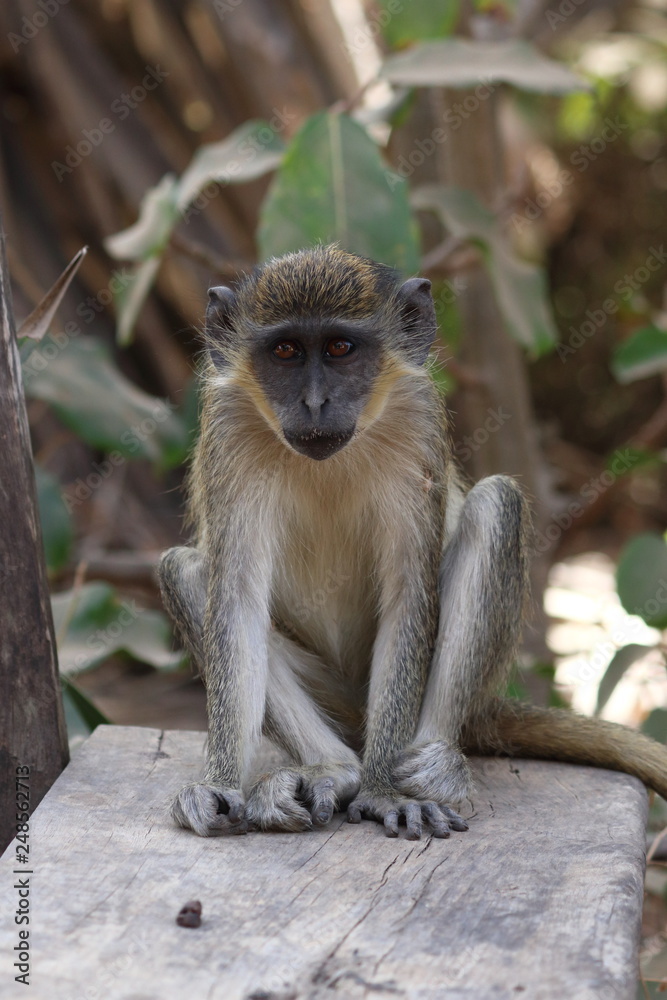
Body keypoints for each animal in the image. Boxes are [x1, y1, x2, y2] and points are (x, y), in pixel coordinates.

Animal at [159, 244, 667, 840]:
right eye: (285, 351)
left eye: (340, 348)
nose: (314, 403)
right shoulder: (226, 427)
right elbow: (236, 601)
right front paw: (219, 785)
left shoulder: (418, 415)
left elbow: (409, 597)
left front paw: (384, 792)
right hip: (339, 699)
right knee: (183, 571)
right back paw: (333, 769)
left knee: (496, 504)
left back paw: (430, 764)